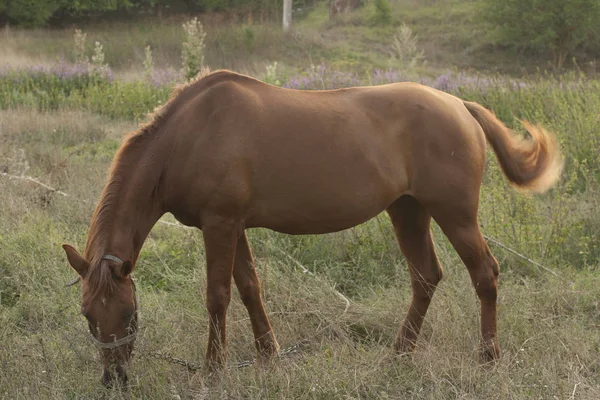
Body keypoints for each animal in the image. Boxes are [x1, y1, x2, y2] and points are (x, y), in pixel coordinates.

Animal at [62, 68, 564, 384]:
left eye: (129, 313)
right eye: (88, 315)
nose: (114, 379)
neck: (189, 136)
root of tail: (459, 103)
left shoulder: (219, 224)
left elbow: (218, 295)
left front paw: (214, 369)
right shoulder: (234, 226)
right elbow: (249, 287)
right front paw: (269, 356)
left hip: (454, 214)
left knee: (485, 274)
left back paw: (487, 359)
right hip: (408, 210)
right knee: (425, 277)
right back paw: (398, 355)